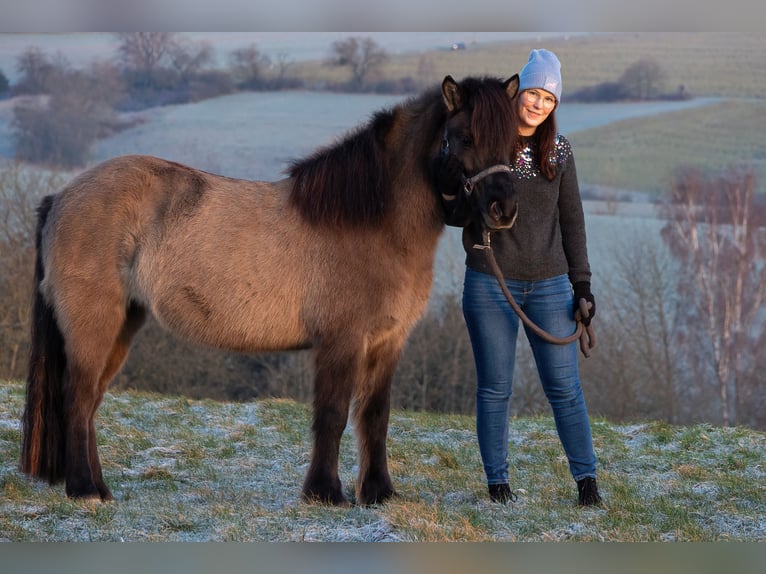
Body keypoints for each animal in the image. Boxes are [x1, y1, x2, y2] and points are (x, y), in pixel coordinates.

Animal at [20, 74, 520, 506]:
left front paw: (378, 493)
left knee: (90, 404)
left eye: (514, 143)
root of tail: (62, 196)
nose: (504, 210)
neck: (373, 221)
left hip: (123, 325)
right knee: (78, 398)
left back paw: (100, 489)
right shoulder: (341, 341)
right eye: (464, 138)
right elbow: (332, 414)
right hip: (94, 324)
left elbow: (375, 415)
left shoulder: (387, 341)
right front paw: (325, 493)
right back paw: (84, 491)